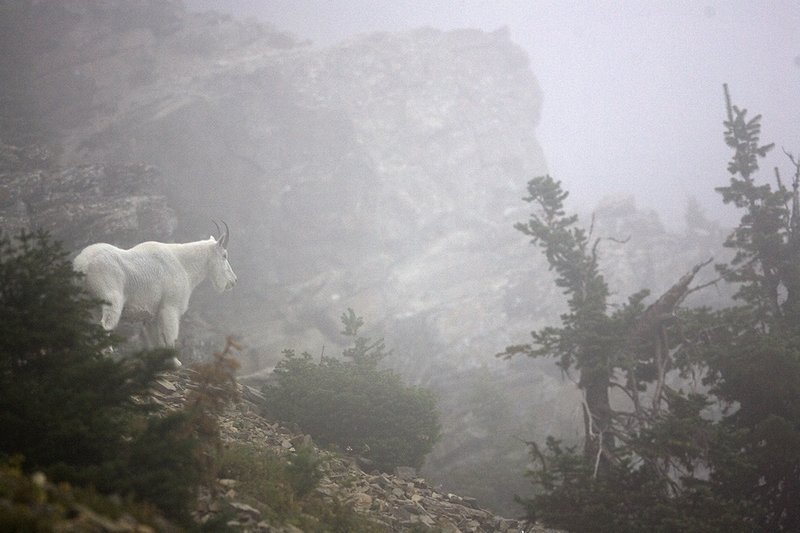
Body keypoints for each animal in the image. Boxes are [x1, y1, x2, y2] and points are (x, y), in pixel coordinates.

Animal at [73, 222, 237, 367]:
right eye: (224, 255)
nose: (233, 281)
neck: (183, 264)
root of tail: (83, 264)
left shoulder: (151, 317)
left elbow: (154, 340)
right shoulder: (170, 308)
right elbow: (170, 337)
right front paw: (175, 363)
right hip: (111, 299)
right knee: (105, 325)